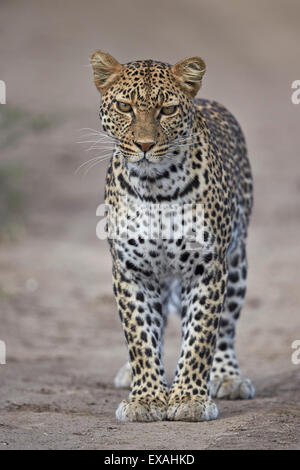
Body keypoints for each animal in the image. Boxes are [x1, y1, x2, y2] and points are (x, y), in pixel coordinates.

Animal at [89, 50, 255, 422]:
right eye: (124, 106)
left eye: (167, 110)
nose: (145, 145)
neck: (156, 186)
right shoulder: (132, 272)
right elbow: (140, 336)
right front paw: (147, 398)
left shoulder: (208, 268)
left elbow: (201, 337)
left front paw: (189, 398)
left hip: (237, 262)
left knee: (226, 329)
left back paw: (227, 377)